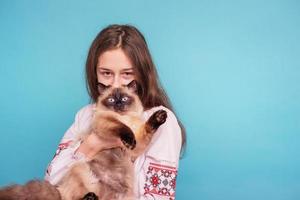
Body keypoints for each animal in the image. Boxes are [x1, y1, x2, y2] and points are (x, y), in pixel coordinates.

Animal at [0, 80, 166, 200]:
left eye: (124, 98)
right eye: (111, 99)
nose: (118, 104)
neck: (124, 117)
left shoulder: (138, 145)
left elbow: (147, 128)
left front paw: (160, 117)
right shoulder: (107, 123)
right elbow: (122, 128)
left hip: (126, 196)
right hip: (81, 170)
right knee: (72, 198)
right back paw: (89, 197)